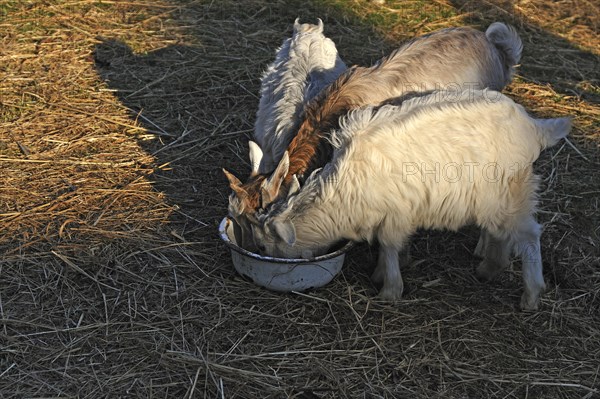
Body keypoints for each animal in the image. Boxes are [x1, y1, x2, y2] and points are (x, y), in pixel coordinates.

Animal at [253, 89, 572, 310]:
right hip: (497, 198)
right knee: (503, 233)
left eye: (264, 245)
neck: (342, 192)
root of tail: (533, 126)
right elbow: (389, 247)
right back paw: (490, 267)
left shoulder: (395, 214)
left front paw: (389, 289)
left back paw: (531, 294)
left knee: (528, 235)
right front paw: (382, 275)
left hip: (509, 191)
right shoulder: (390, 214)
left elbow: (389, 246)